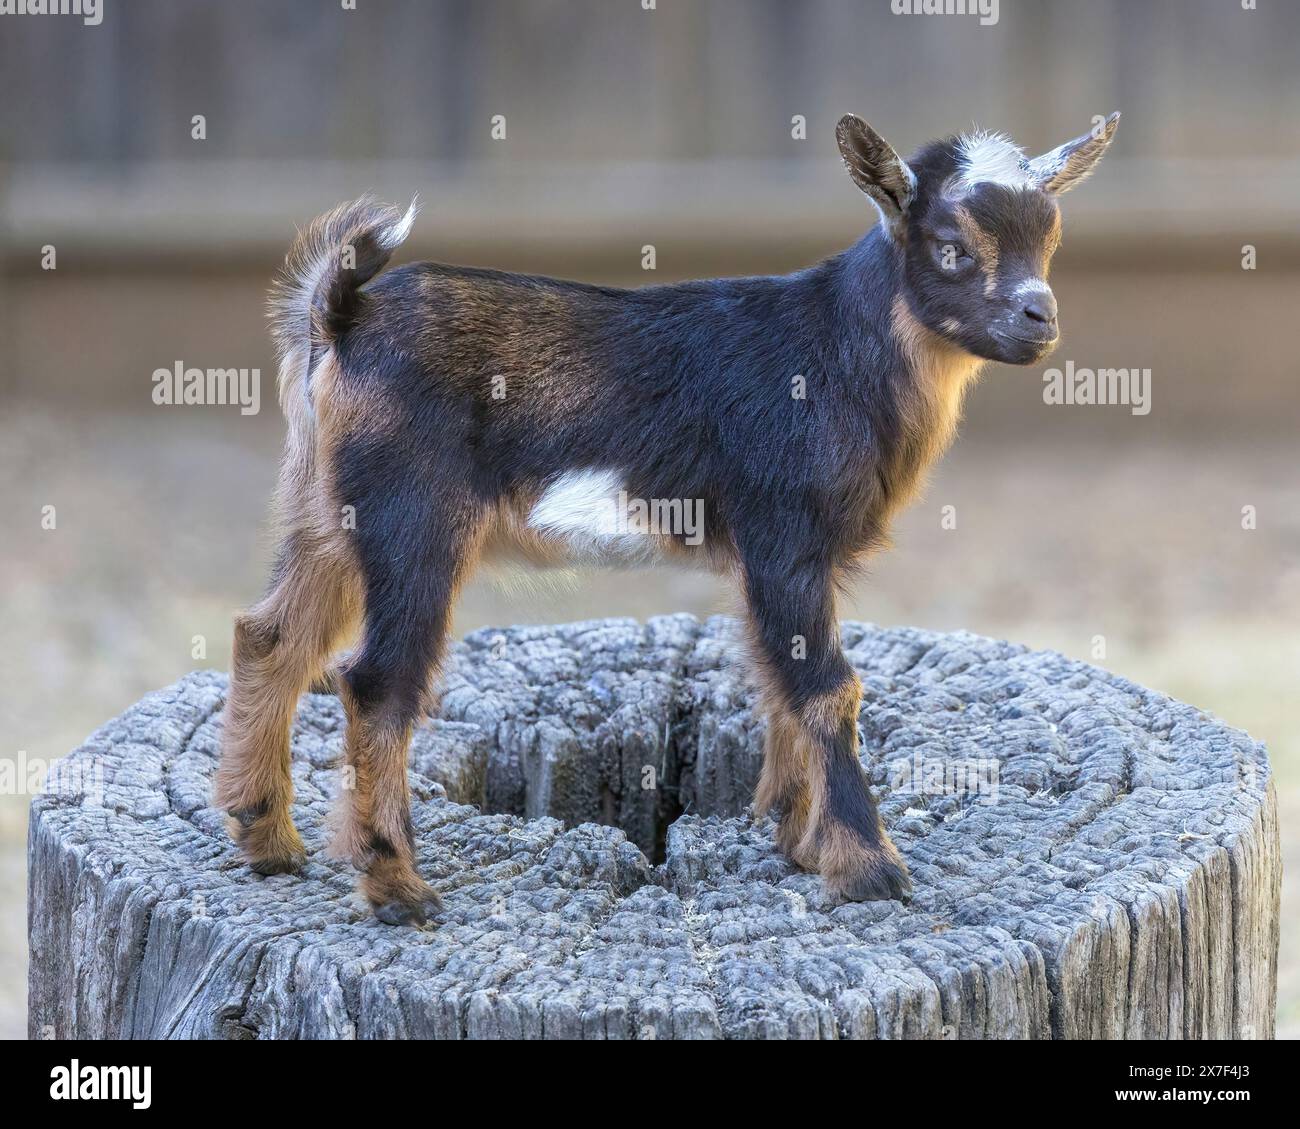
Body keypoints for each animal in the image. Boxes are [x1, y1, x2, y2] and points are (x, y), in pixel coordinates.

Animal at [215, 112, 1120, 925]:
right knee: (374, 680)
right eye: (950, 244)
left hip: (326, 513)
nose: (1041, 318)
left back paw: (267, 840)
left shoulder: (781, 557)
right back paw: (397, 887)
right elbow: (829, 687)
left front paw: (794, 837)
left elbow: (777, 678)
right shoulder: (785, 533)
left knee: (271, 635)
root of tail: (340, 313)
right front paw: (868, 868)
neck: (837, 349)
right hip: (412, 517)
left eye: (1051, 238)